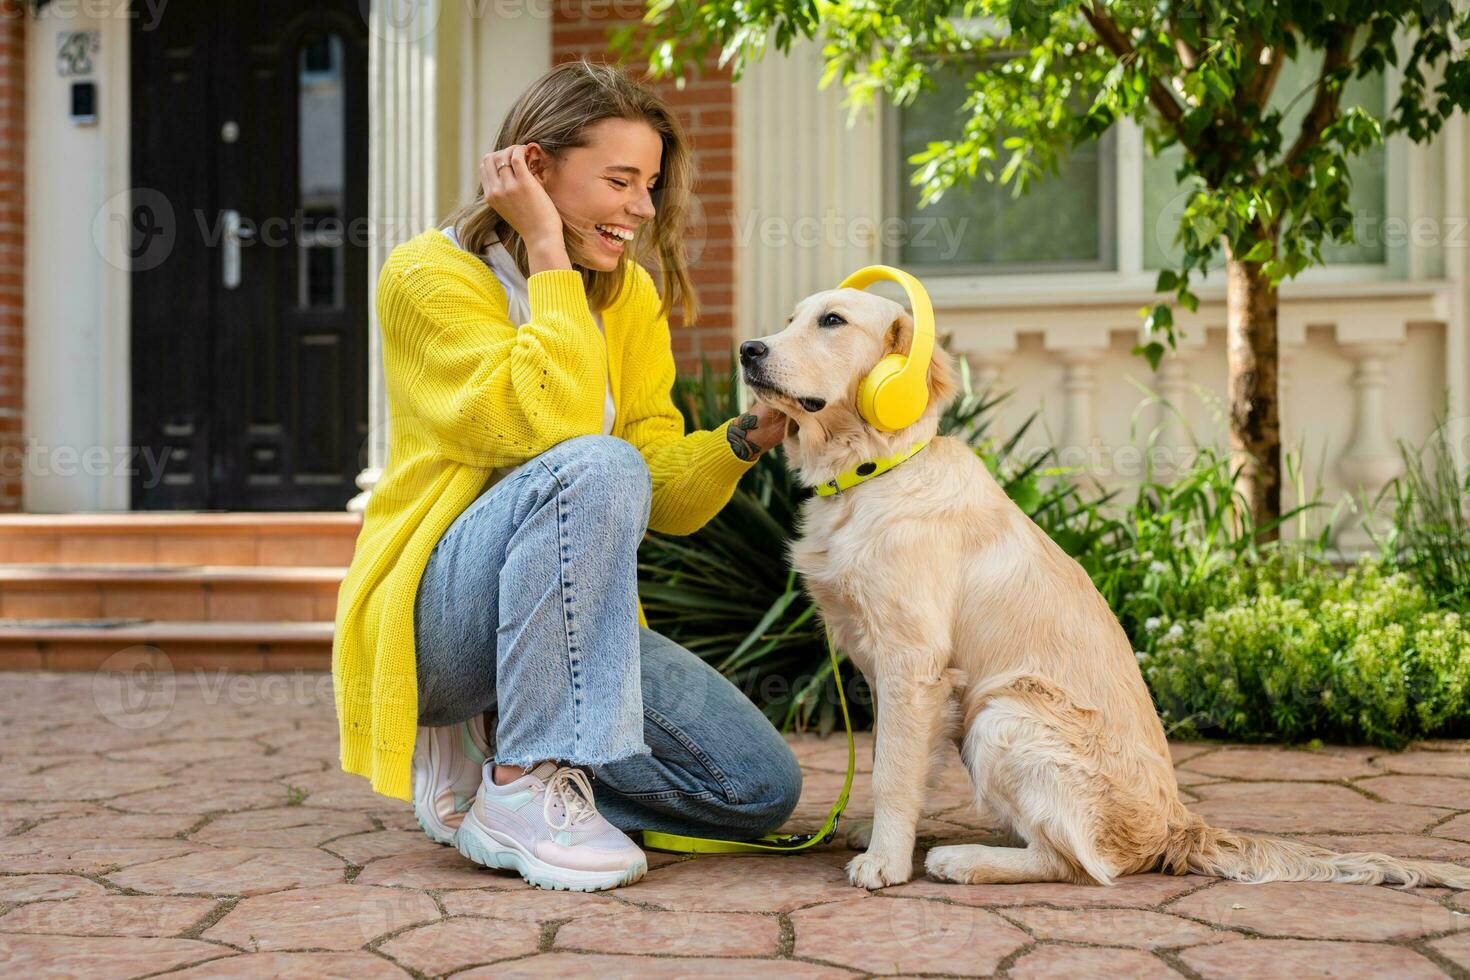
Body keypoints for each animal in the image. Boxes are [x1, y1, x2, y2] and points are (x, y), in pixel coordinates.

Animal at [740, 287, 1470, 893]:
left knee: (1081, 863)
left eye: (832, 321)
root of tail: (1177, 826)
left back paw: (963, 860)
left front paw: (886, 862)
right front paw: (883, 837)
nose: (748, 350)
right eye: (790, 319)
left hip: (1003, 712)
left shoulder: (911, 664)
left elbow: (892, 769)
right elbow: (900, 764)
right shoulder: (902, 674)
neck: (871, 472)